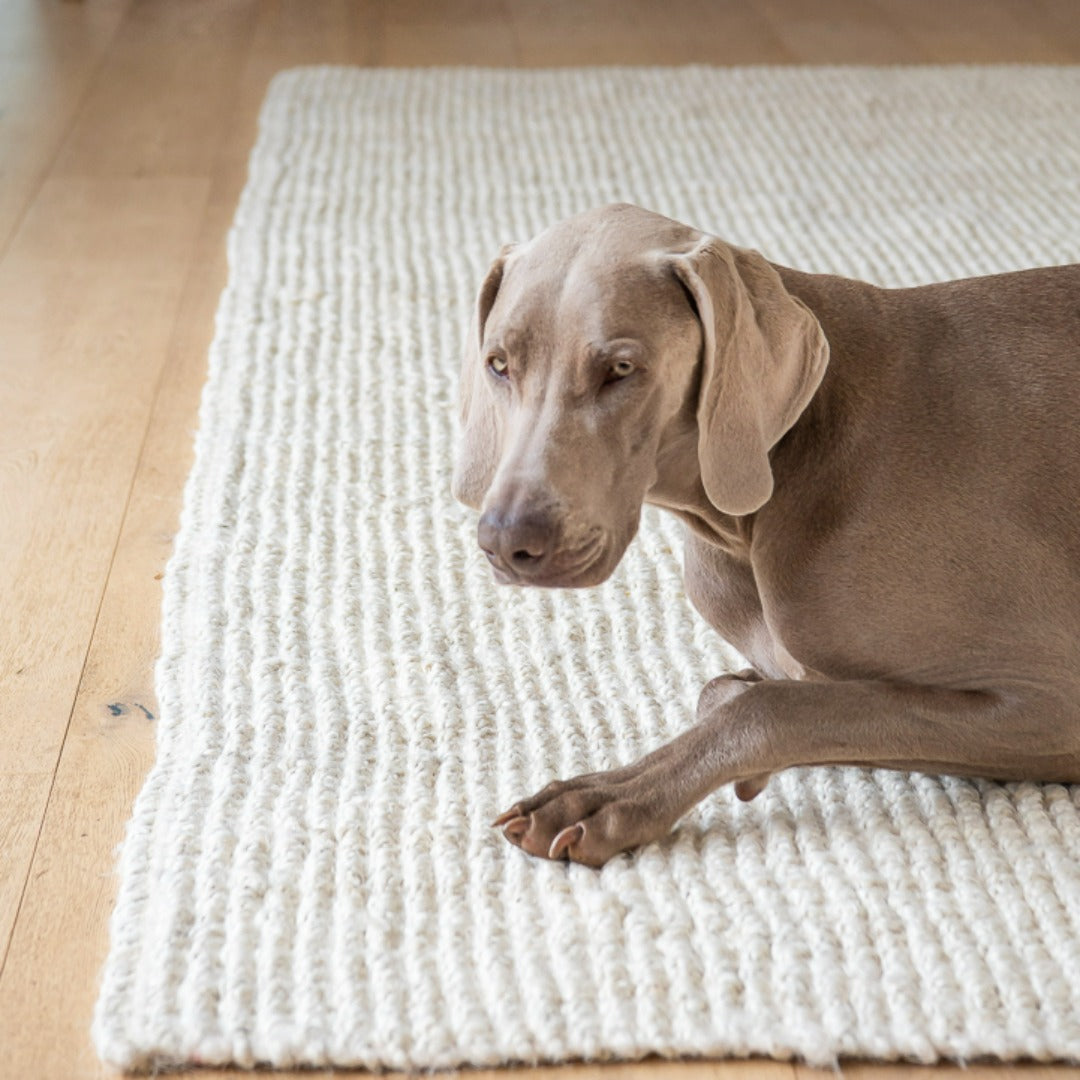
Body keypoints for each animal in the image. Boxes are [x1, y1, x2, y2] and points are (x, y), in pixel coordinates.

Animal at [449, 203, 1080, 868]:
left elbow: (768, 704)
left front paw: (604, 797)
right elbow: (734, 691)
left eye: (620, 370)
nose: (507, 542)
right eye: (499, 365)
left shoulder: (1051, 697)